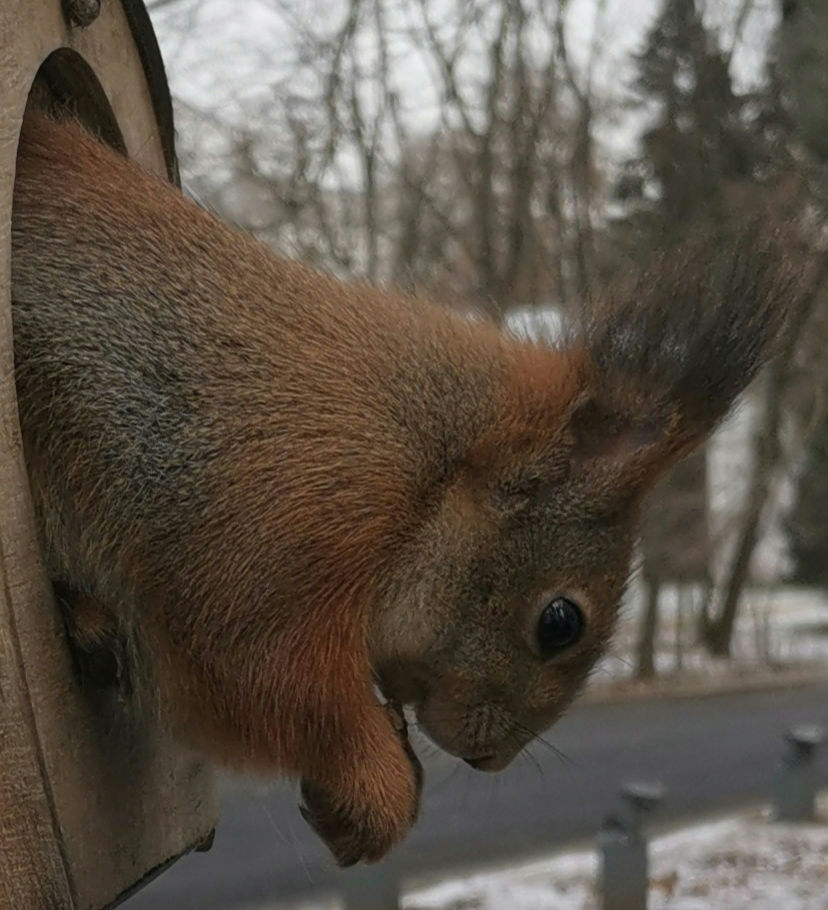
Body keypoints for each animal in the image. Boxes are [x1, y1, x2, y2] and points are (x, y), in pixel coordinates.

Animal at [10, 113, 796, 866]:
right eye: (560, 623)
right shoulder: (281, 524)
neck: (427, 477)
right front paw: (377, 794)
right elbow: (265, 681)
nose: (488, 758)